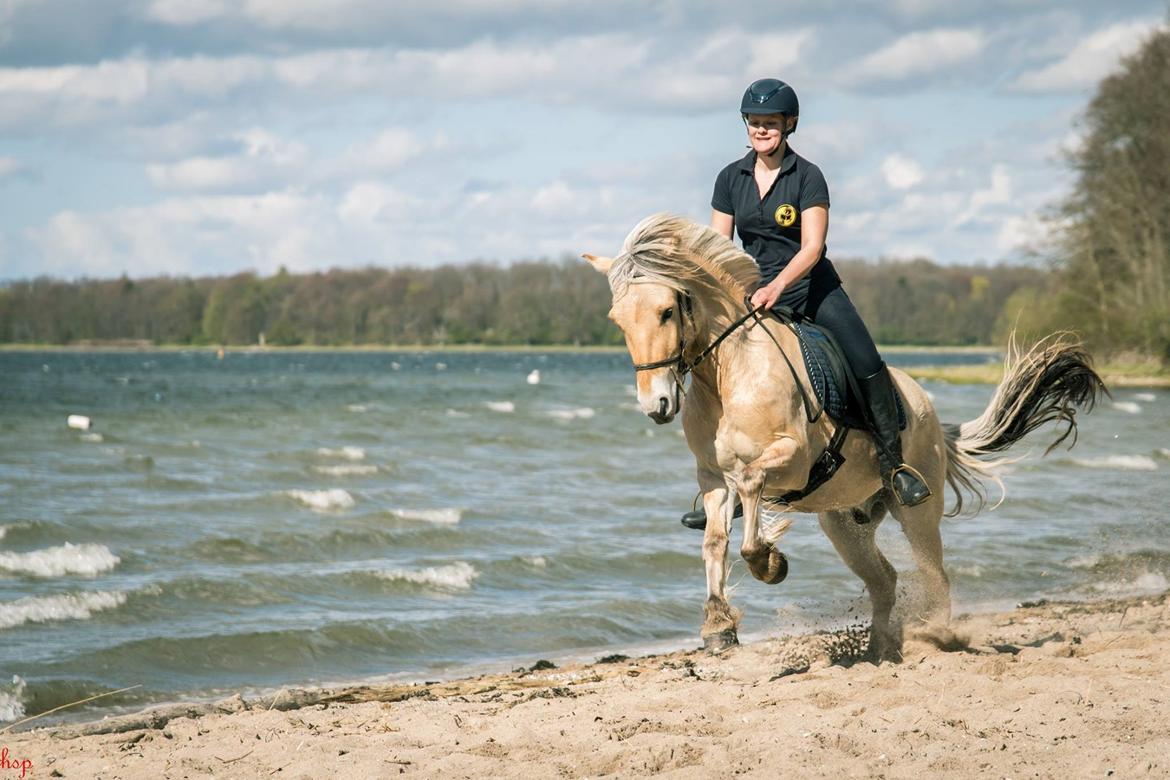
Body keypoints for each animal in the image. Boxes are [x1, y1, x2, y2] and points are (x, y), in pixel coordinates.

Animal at [585, 211, 1104, 659]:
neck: (729, 374)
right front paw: (718, 626)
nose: (657, 405)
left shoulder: (792, 458)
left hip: (917, 511)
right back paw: (881, 649)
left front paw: (769, 563)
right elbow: (713, 542)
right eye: (617, 321)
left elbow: (752, 489)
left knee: (934, 573)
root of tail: (932, 414)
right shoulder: (712, 478)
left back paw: (935, 634)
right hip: (844, 523)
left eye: (666, 311)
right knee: (886, 580)